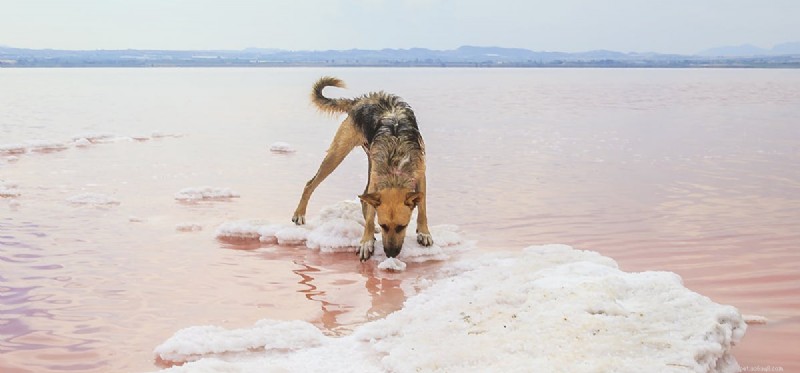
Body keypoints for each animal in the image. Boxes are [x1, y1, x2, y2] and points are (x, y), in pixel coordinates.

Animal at [292, 76, 434, 260]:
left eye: (402, 227)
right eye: (384, 225)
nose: (390, 254)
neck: (396, 165)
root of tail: (359, 100)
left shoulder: (421, 175)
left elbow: (422, 207)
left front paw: (424, 232)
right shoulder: (377, 180)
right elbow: (370, 215)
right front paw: (366, 241)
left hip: (369, 162)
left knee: (363, 196)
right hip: (337, 154)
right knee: (310, 184)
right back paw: (299, 214)